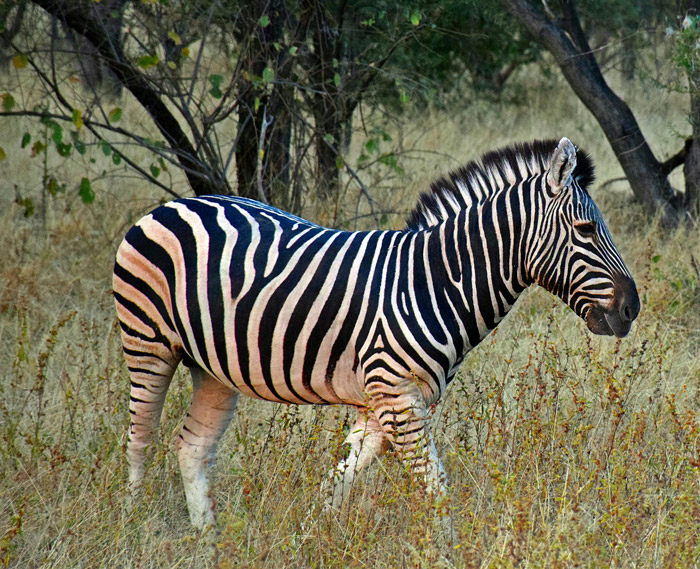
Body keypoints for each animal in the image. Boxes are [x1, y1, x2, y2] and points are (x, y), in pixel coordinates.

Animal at [113, 136, 640, 528]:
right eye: (586, 229)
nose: (632, 308)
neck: (437, 281)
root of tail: (174, 204)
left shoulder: (385, 403)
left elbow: (338, 483)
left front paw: (309, 536)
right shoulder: (397, 397)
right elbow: (435, 492)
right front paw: (446, 552)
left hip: (214, 367)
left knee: (191, 448)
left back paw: (208, 540)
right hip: (148, 343)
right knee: (140, 438)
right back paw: (133, 524)